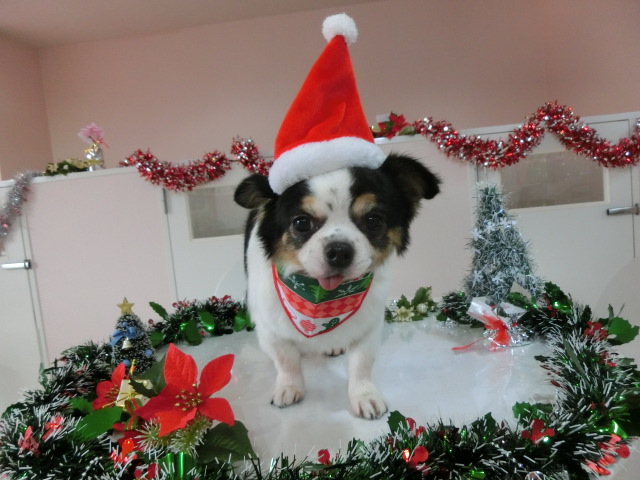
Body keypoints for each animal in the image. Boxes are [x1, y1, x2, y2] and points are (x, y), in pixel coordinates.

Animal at [234, 152, 440, 419]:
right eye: (301, 223)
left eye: (373, 220)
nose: (340, 251)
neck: (320, 297)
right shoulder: (271, 327)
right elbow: (287, 360)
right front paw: (289, 387)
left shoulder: (369, 324)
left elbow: (362, 363)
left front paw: (364, 395)